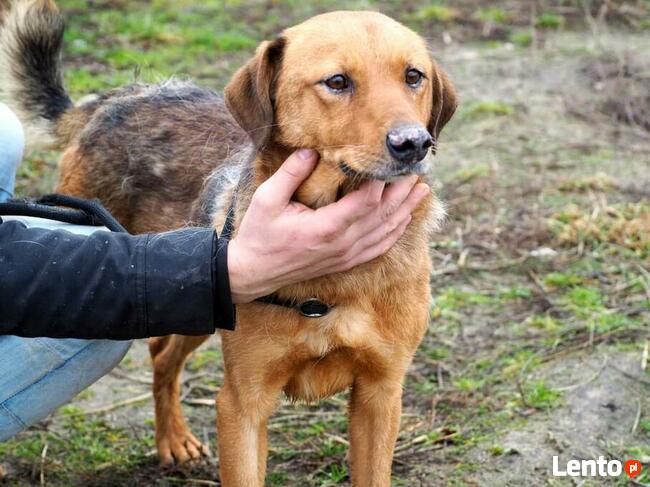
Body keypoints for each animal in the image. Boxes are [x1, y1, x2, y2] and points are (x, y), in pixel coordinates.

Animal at [0, 1, 456, 486]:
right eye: (337, 82)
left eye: (414, 76)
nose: (414, 143)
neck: (337, 279)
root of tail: (113, 101)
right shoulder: (242, 403)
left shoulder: (380, 395)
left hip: (194, 299)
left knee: (163, 354)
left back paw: (173, 438)